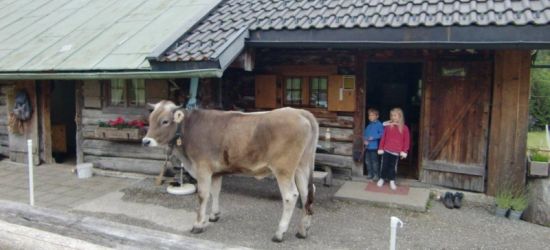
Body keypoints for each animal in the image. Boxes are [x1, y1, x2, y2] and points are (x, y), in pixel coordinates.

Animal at [143, 100, 320, 242]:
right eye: (150, 120)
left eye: (165, 121)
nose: (145, 141)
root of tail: (299, 112)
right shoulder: (215, 172)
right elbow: (215, 192)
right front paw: (214, 215)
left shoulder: (203, 168)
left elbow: (202, 195)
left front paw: (198, 224)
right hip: (302, 166)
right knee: (307, 193)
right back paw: (303, 230)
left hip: (283, 170)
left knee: (291, 196)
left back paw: (279, 233)